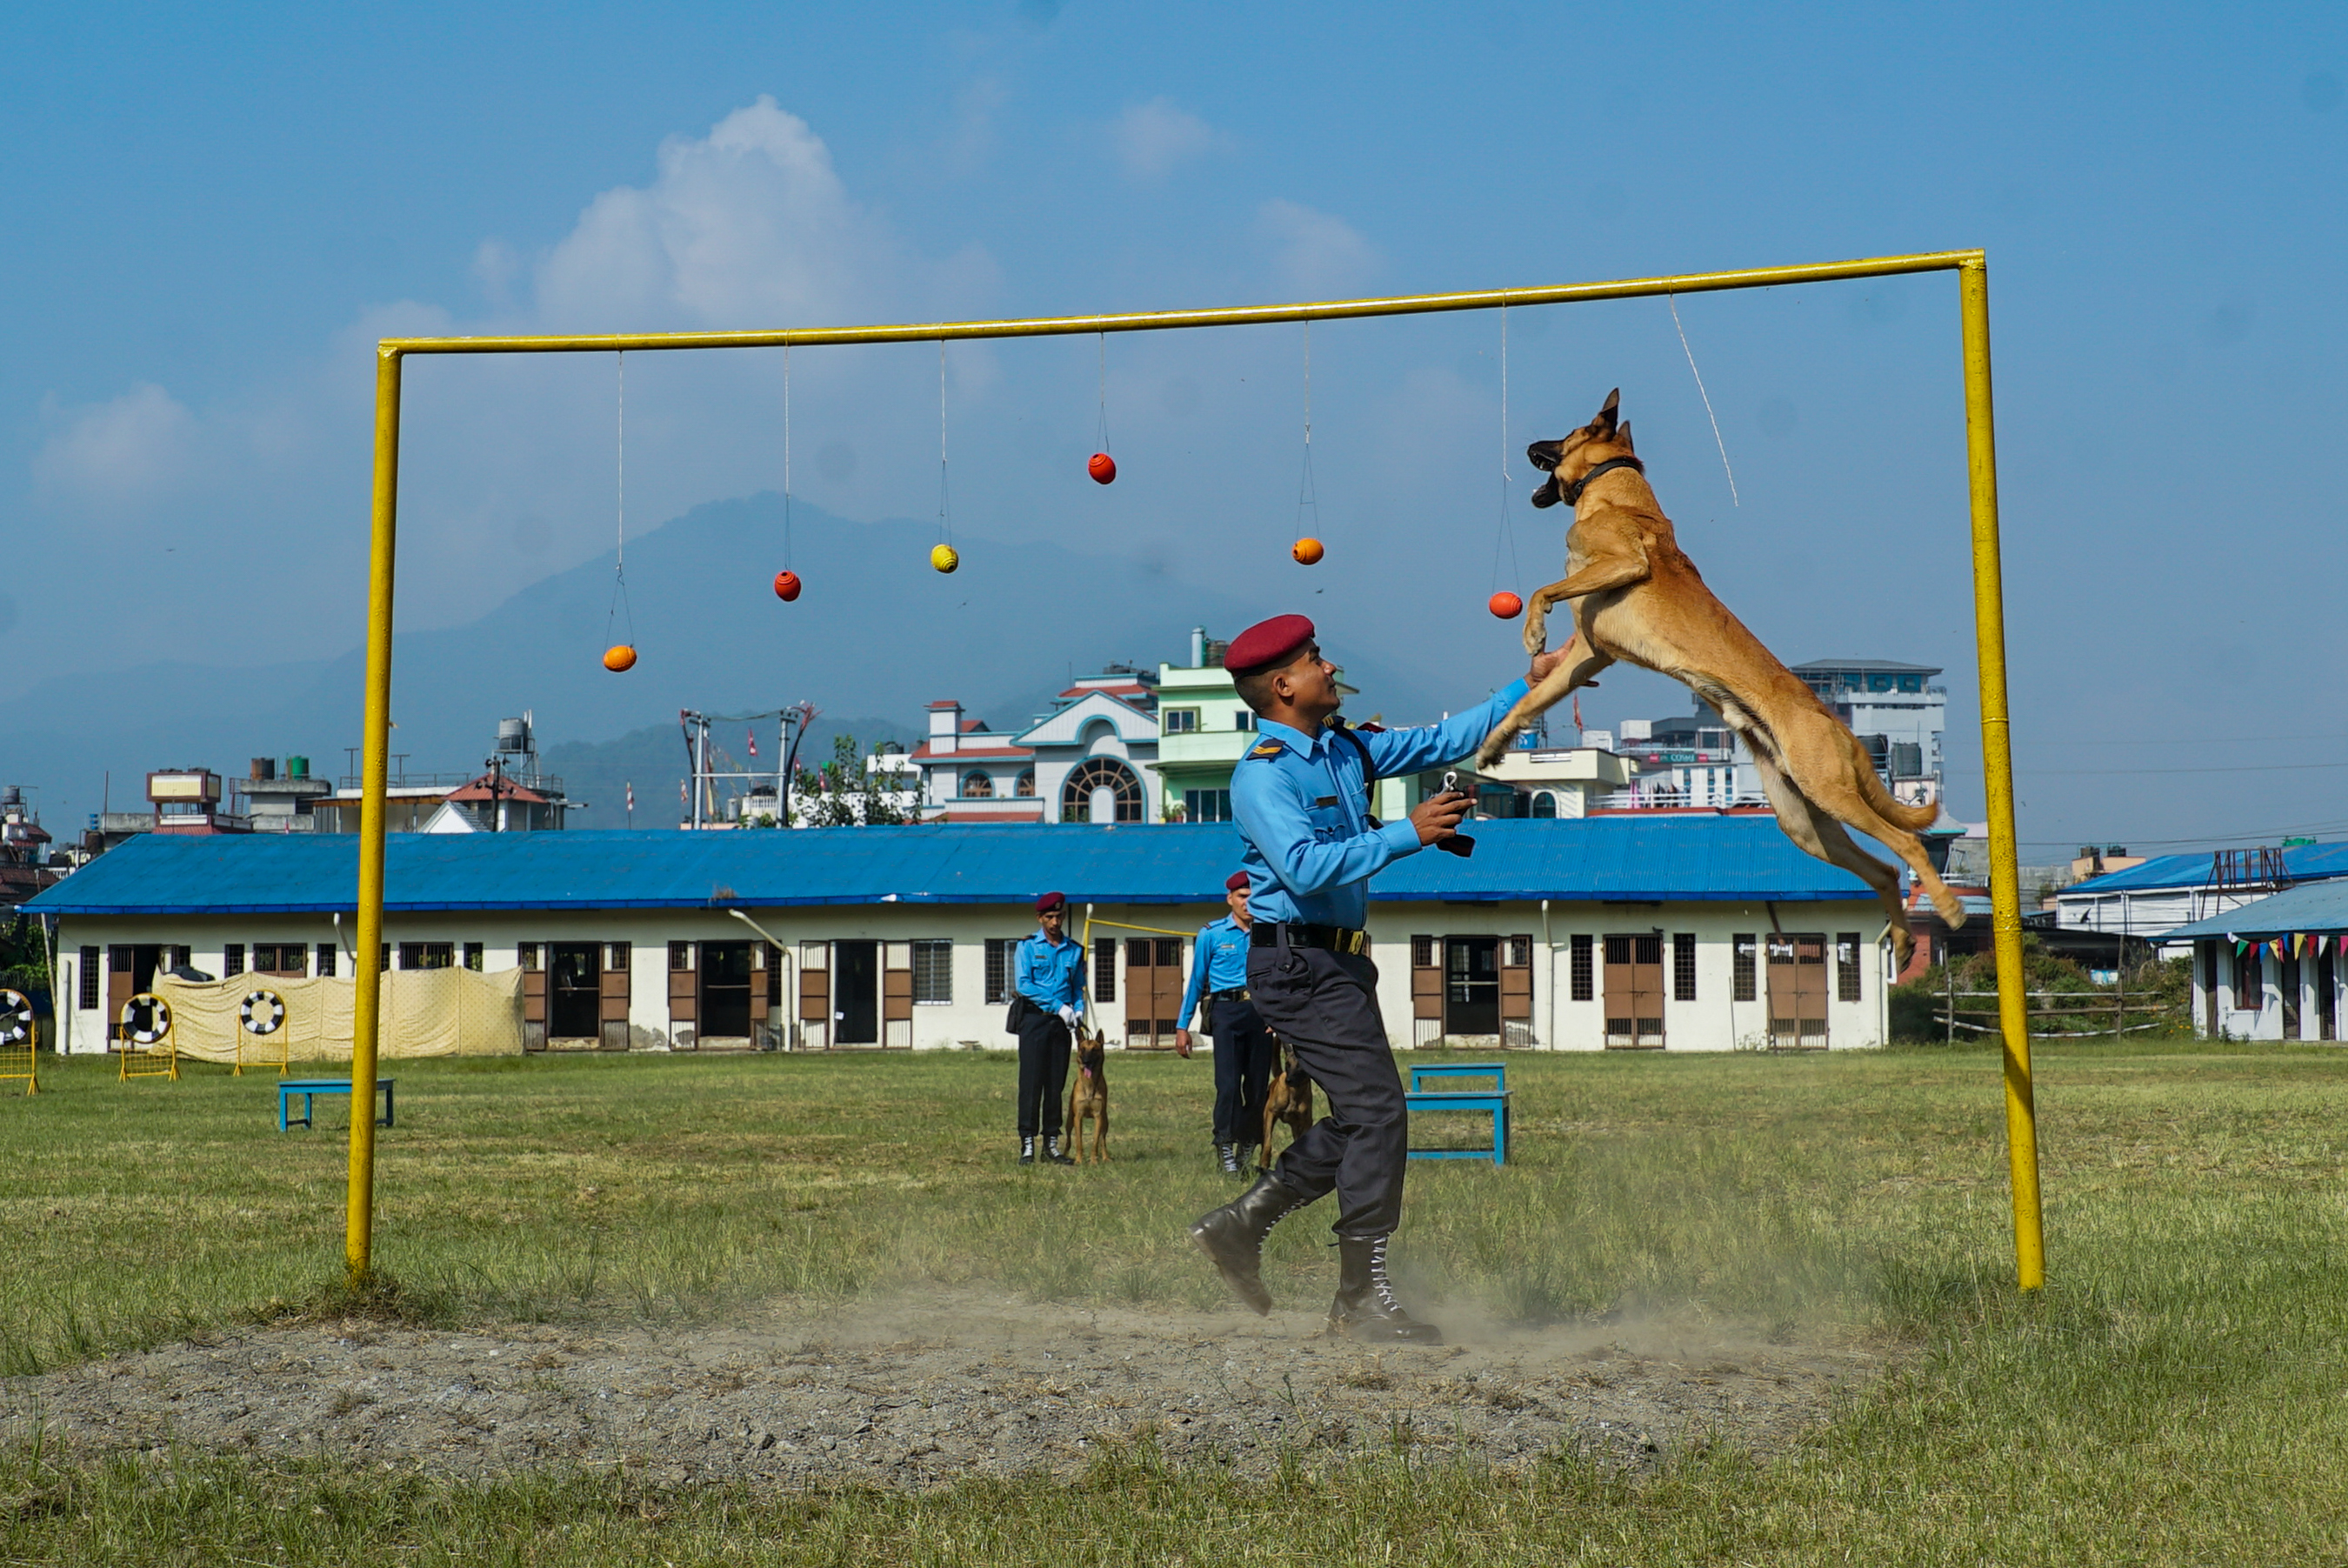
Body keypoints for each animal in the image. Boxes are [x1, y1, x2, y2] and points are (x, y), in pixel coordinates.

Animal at [1065, 1028, 1108, 1164]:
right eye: (1082, 1049)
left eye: (1094, 1049)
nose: (1086, 1062)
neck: (1089, 1084)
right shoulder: (1078, 1117)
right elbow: (1079, 1142)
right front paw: (1079, 1161)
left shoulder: (1099, 1117)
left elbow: (1095, 1142)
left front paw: (1093, 1161)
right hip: (1069, 1122)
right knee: (1068, 1141)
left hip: (1105, 1122)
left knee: (1103, 1141)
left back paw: (1106, 1157)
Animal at [1258, 1032, 1315, 1169]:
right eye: (1288, 1064)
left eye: (1300, 1067)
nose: (1288, 1080)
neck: (1294, 1093)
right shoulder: (1270, 1113)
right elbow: (1268, 1142)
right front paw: (1264, 1162)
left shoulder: (1306, 1122)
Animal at [1484, 390, 1963, 967]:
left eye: (1566, 433)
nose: (1529, 444)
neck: (1612, 490)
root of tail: (1837, 724)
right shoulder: (1590, 652)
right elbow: (1526, 703)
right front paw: (1493, 745)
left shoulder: (1624, 566)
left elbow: (1542, 589)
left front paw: (1532, 630)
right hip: (1805, 822)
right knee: (1885, 868)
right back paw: (1901, 937)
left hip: (1830, 793)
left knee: (1907, 845)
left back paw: (1949, 907)